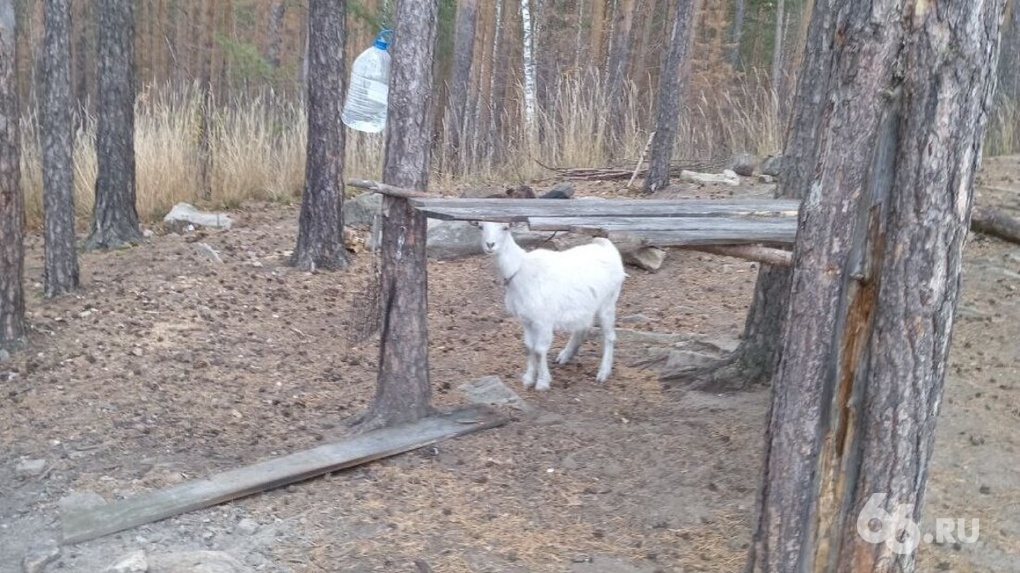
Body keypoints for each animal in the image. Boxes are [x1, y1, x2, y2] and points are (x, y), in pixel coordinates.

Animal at [475, 221, 620, 389]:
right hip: (586, 305)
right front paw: (528, 378)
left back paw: (603, 372)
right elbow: (529, 347)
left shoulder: (543, 320)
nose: (490, 245)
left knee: (609, 336)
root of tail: (607, 248)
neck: (521, 270)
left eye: (505, 227)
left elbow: (539, 349)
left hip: (608, 301)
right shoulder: (527, 319)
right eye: (480, 226)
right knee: (583, 326)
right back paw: (566, 355)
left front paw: (542, 382)